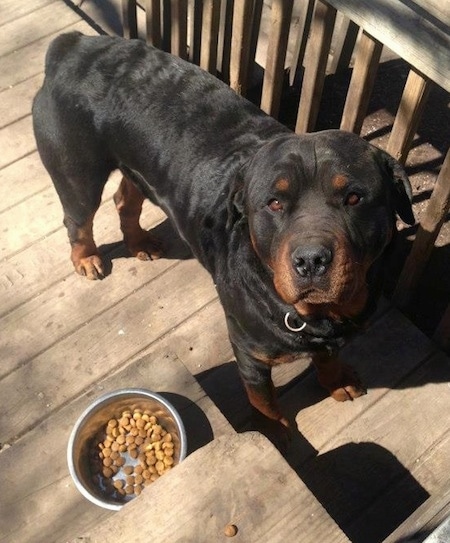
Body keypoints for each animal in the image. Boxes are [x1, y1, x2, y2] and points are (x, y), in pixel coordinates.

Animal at [32, 31, 414, 444]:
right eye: (274, 203)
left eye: (354, 198)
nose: (311, 259)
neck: (319, 315)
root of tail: (75, 46)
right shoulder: (250, 354)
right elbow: (264, 402)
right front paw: (276, 435)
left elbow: (329, 356)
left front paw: (336, 380)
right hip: (77, 174)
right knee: (77, 219)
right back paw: (87, 258)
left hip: (134, 169)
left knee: (125, 199)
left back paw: (139, 243)